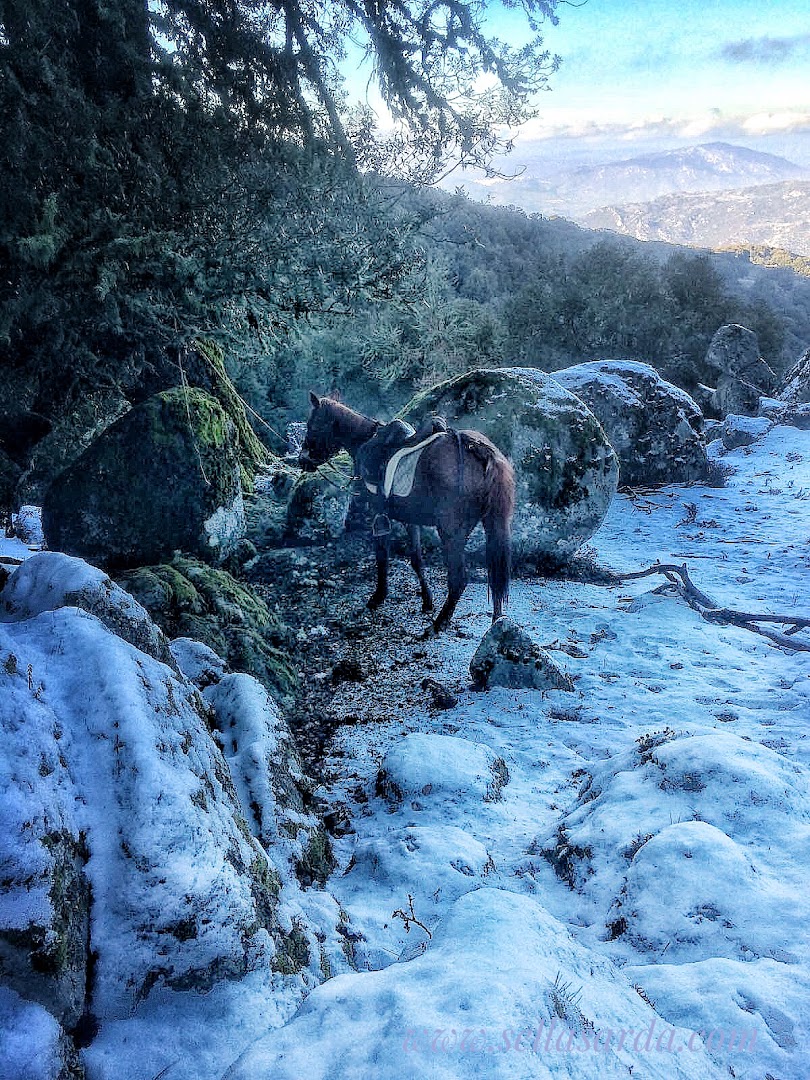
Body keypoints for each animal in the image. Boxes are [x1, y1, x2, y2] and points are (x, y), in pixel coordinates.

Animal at [299, 392, 515, 632]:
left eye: (311, 424)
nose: (302, 460)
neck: (365, 442)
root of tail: (481, 452)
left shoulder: (378, 515)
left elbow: (382, 556)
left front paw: (378, 596)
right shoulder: (411, 520)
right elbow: (416, 559)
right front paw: (427, 601)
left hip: (451, 533)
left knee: (459, 579)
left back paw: (438, 623)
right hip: (493, 525)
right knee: (496, 575)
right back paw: (497, 622)